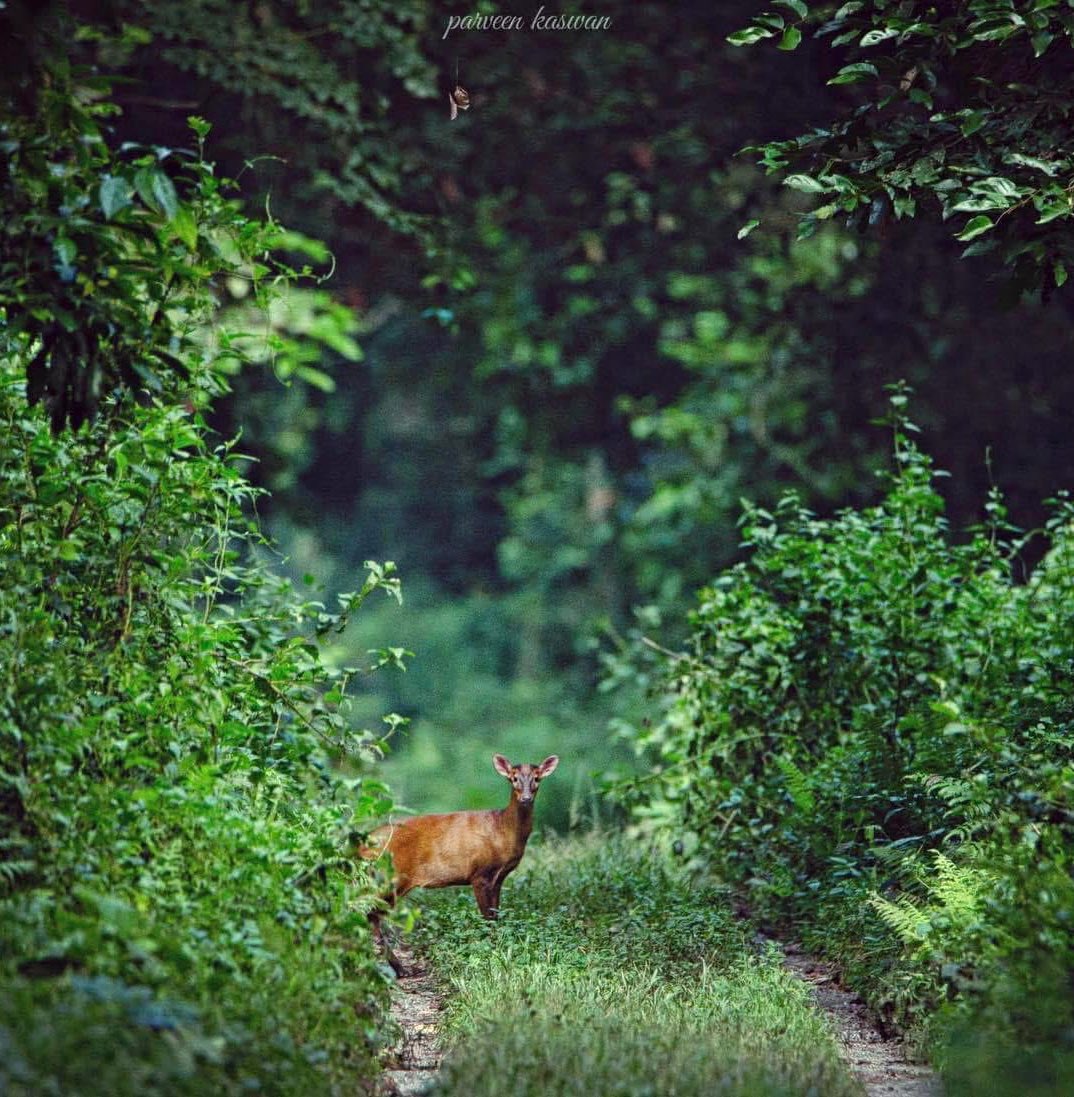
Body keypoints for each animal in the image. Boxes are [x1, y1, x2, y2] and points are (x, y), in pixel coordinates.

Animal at [361, 753, 559, 974]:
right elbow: (487, 918)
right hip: (389, 877)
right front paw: (492, 955)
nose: (525, 798)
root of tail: (361, 843)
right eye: (514, 778)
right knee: (368, 913)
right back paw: (397, 968)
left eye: (537, 778)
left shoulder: (498, 877)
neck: (502, 832)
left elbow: (496, 915)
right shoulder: (479, 873)